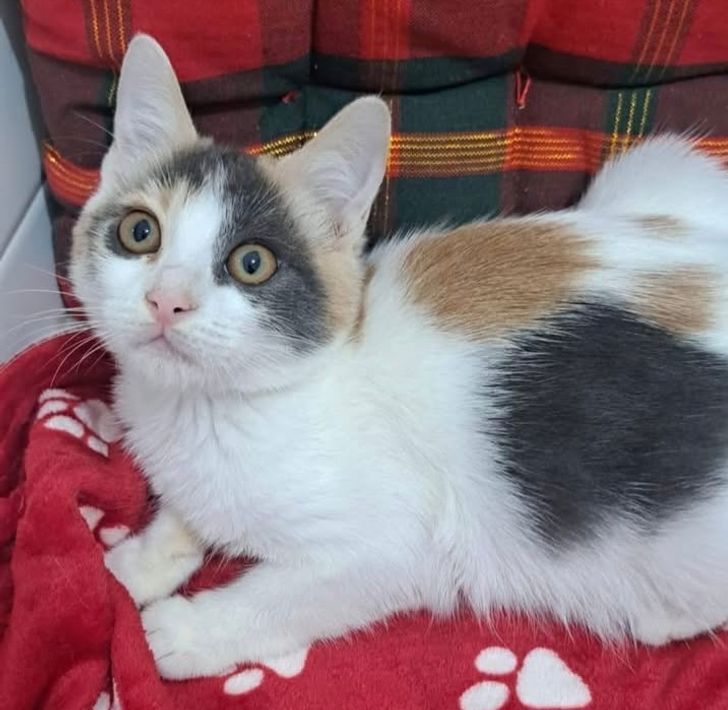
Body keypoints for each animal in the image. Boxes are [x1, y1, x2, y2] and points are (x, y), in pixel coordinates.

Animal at [70, 34, 728, 680]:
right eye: (139, 232)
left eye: (251, 263)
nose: (166, 300)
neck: (213, 408)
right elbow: (188, 510)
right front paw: (135, 560)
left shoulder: (404, 547)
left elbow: (289, 594)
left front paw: (183, 631)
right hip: (656, 169)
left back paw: (657, 614)